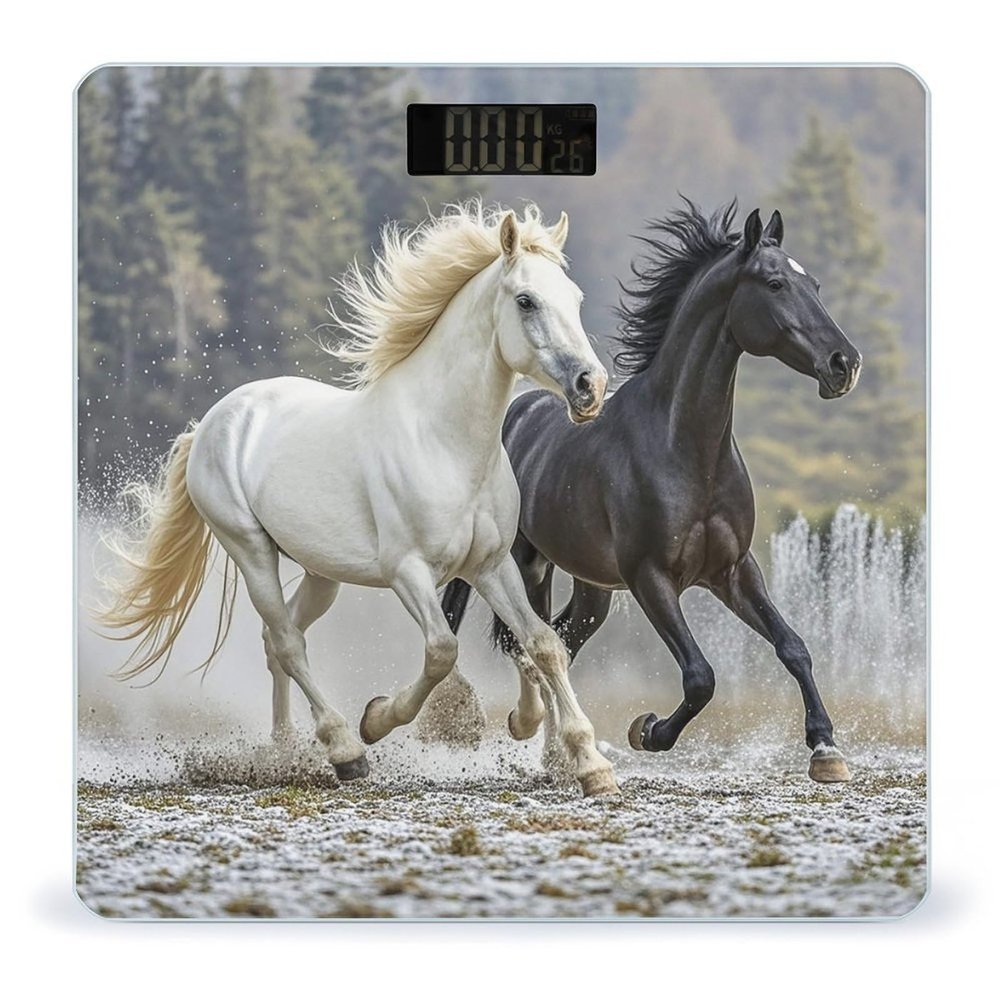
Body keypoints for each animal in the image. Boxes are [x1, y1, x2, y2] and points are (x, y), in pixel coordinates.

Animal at [96, 200, 621, 798]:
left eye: (574, 298)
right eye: (526, 300)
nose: (590, 387)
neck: (444, 441)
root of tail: (212, 422)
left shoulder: (490, 565)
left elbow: (541, 643)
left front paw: (584, 761)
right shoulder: (407, 571)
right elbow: (442, 652)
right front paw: (377, 719)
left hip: (321, 573)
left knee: (278, 638)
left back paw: (286, 752)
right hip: (251, 550)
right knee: (288, 642)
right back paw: (345, 749)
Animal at [440, 200, 863, 783]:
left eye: (815, 284)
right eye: (775, 283)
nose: (845, 364)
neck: (684, 449)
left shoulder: (733, 571)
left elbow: (793, 646)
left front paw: (825, 749)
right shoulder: (651, 578)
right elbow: (700, 676)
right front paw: (649, 731)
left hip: (590, 588)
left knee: (560, 641)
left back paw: (558, 754)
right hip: (522, 564)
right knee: (520, 639)